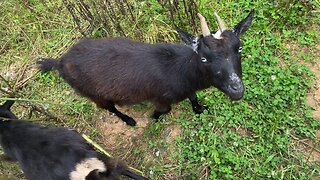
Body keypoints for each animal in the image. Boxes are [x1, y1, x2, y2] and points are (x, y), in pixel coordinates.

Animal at [36, 10, 254, 126]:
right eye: (203, 58)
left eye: (239, 48)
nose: (237, 89)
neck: (181, 70)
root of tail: (60, 61)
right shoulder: (162, 98)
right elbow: (164, 110)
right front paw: (154, 118)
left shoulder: (187, 87)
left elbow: (193, 97)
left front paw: (199, 109)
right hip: (92, 93)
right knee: (110, 108)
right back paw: (129, 120)